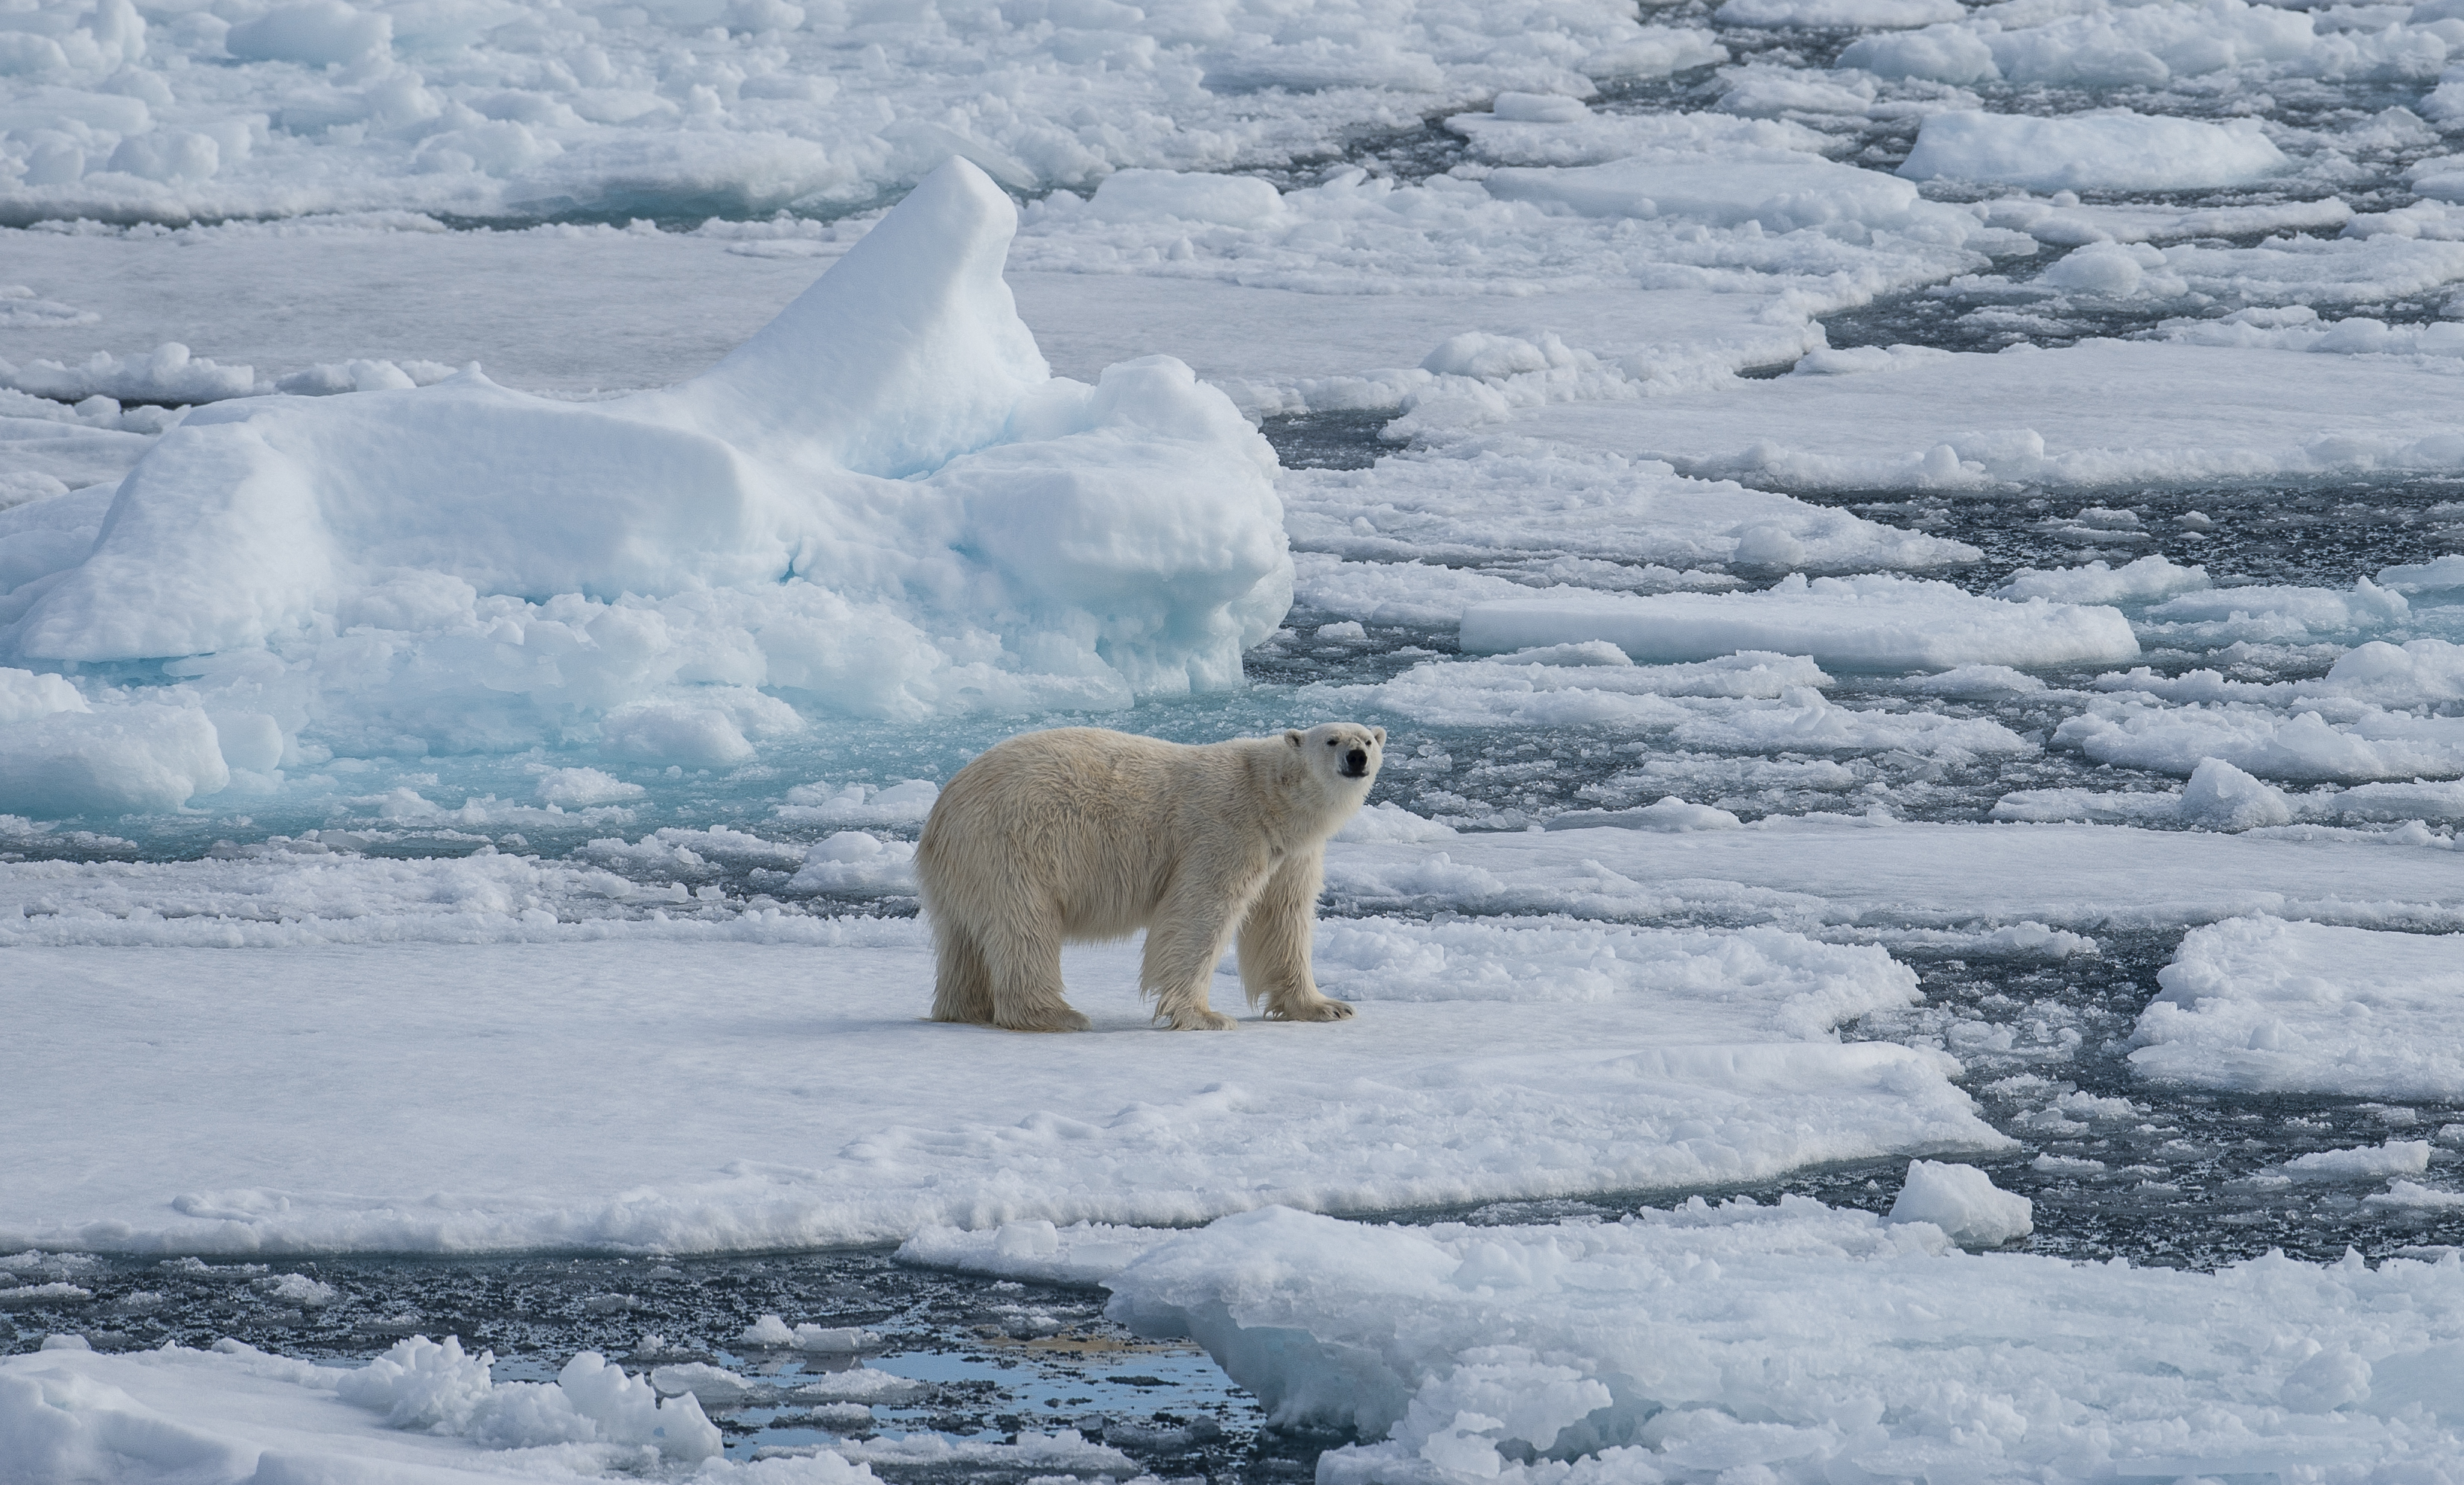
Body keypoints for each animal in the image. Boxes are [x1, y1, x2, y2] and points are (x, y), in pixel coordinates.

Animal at [921, 724, 1389, 1029]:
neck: (1269, 796)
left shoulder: (1292, 854)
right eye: (1331, 740)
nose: (1357, 757)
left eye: (1367, 739)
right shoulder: (1225, 832)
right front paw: (1204, 1016)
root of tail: (942, 812)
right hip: (1012, 848)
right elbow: (1199, 913)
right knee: (1024, 926)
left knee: (965, 938)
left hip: (968, 869)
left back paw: (966, 1010)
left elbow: (1283, 918)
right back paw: (1054, 1014)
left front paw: (1327, 1007)